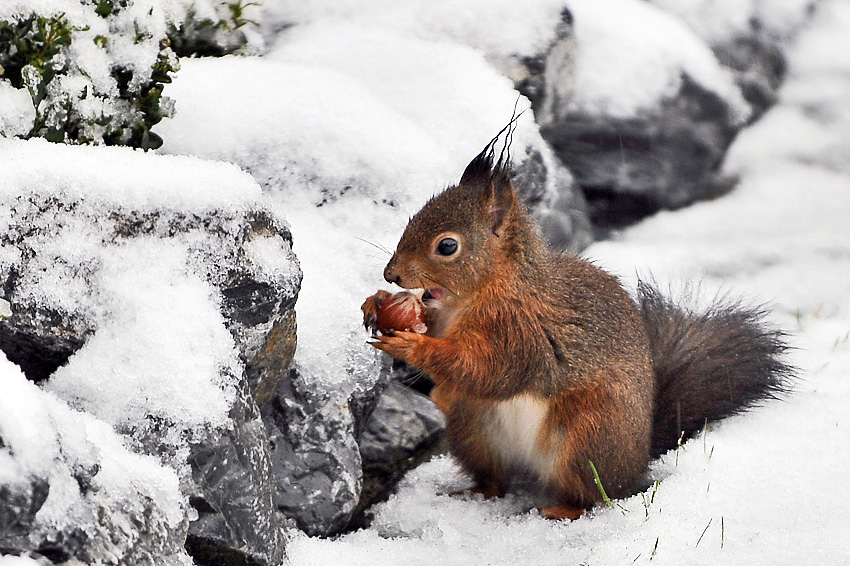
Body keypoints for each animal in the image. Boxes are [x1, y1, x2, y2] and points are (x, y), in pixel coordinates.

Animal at [358, 134, 788, 524]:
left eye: (447, 246)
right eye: (413, 219)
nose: (391, 274)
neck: (479, 295)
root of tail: (637, 457)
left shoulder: (523, 333)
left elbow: (489, 371)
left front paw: (412, 347)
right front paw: (376, 303)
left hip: (587, 436)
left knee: (595, 494)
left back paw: (564, 509)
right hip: (473, 430)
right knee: (496, 479)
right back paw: (473, 492)